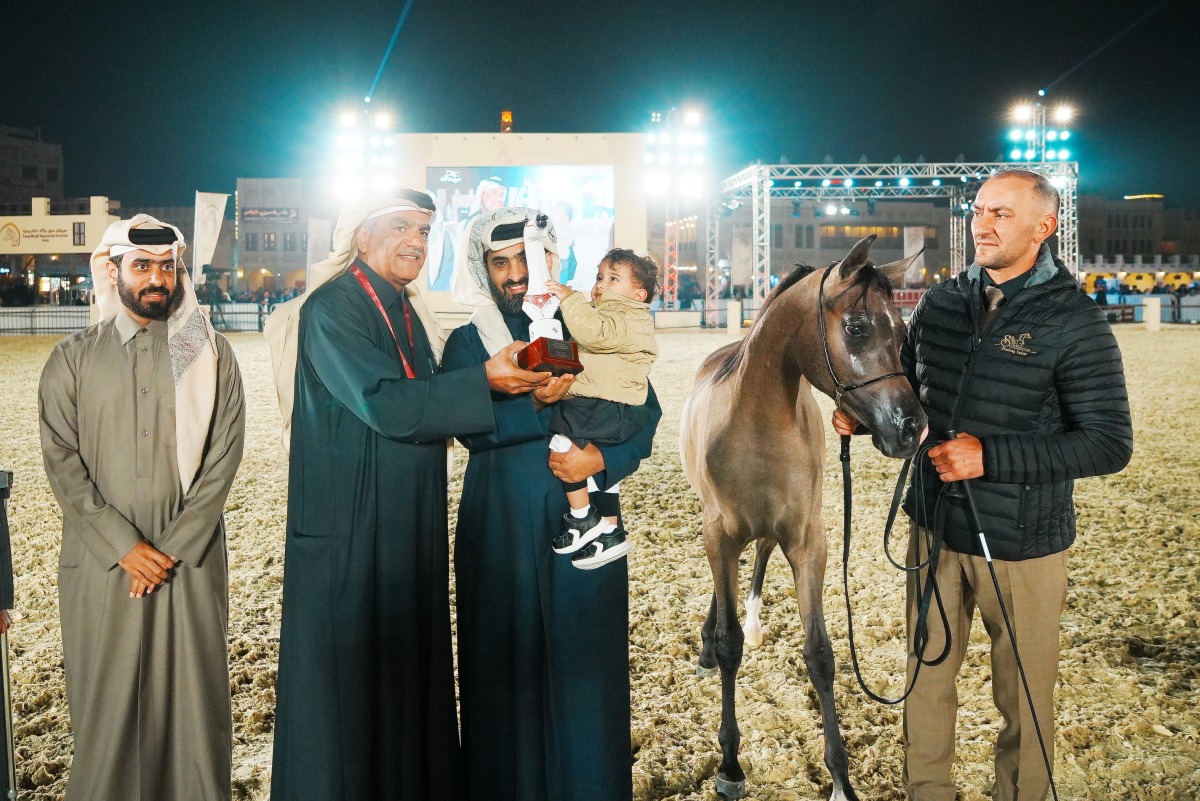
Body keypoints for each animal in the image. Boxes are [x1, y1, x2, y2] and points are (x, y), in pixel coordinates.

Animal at [676, 232, 926, 801]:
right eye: (856, 327)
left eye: (903, 330)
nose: (912, 428)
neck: (757, 427)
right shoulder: (719, 534)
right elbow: (729, 646)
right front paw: (730, 767)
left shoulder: (808, 541)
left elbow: (820, 655)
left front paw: (840, 780)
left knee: (759, 557)